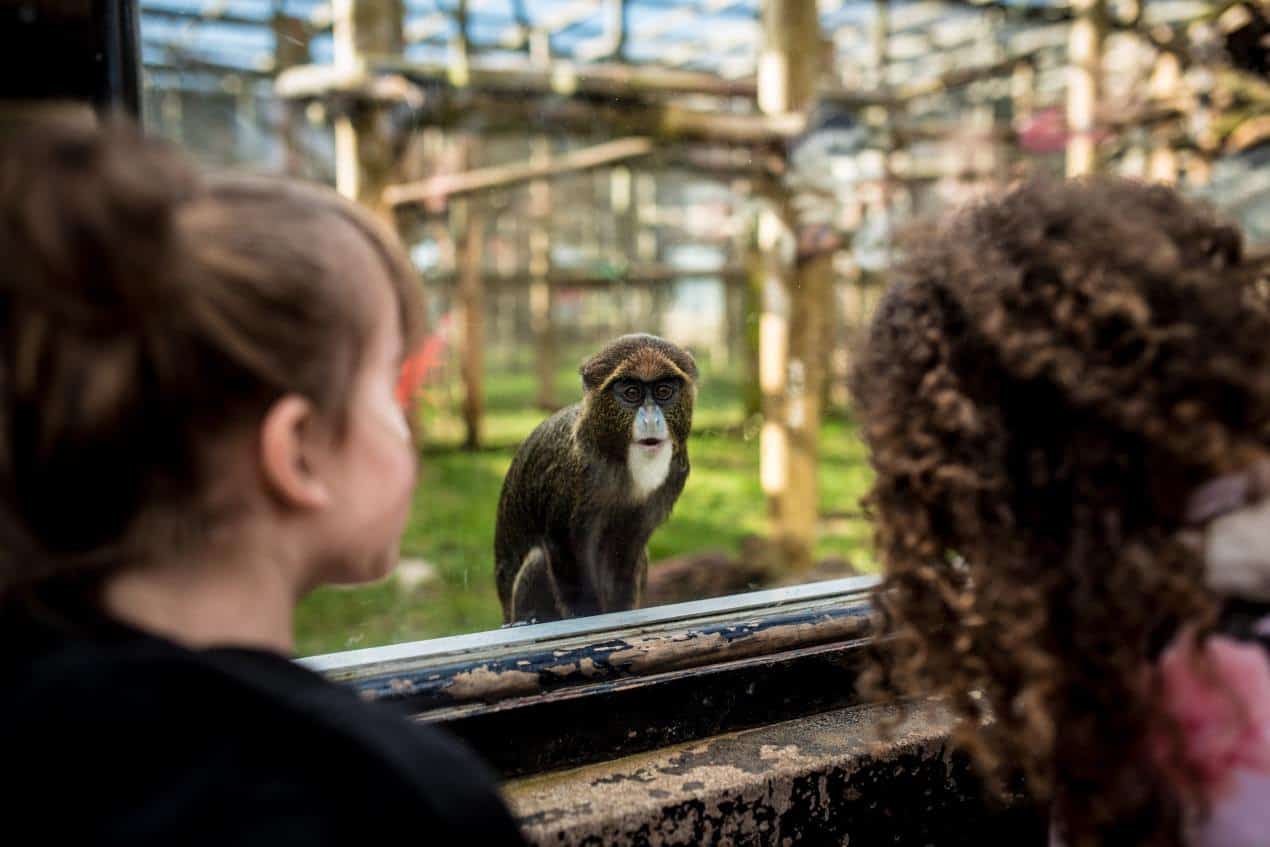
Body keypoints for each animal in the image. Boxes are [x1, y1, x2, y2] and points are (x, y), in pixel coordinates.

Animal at [492, 335, 695, 627]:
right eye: (631, 393)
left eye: (663, 391)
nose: (652, 420)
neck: (616, 459)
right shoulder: (568, 473)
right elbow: (564, 546)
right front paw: (585, 614)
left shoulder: (675, 474)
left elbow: (627, 548)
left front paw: (620, 611)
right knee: (539, 559)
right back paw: (528, 620)